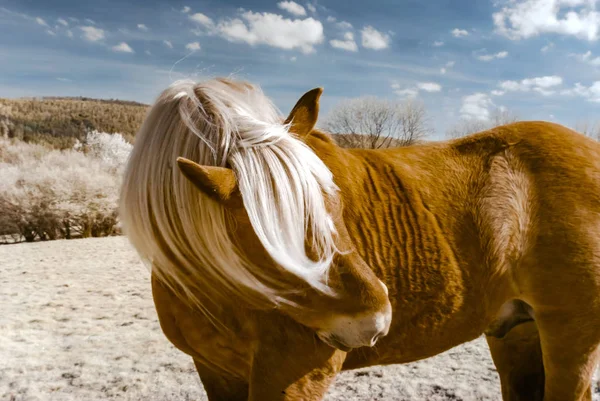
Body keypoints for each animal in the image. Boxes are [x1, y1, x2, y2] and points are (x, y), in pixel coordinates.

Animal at [119, 76, 600, 398]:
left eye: (334, 198)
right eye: (263, 238)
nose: (376, 321)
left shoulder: (293, 374)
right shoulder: (216, 371)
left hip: (572, 338)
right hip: (517, 331)